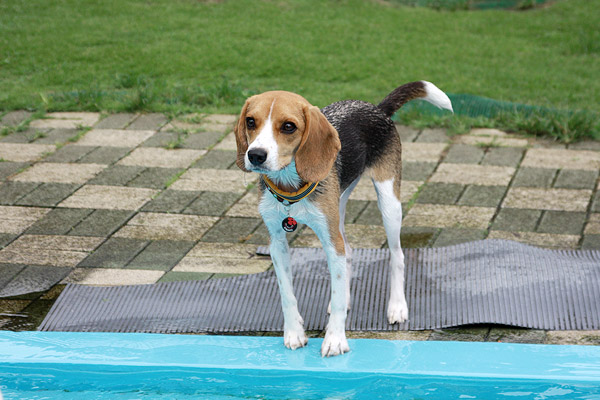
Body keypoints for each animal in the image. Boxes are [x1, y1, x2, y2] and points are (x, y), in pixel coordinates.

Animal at [233, 81, 450, 356]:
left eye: (289, 126)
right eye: (250, 121)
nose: (256, 155)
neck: (291, 186)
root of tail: (376, 108)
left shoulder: (330, 241)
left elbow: (335, 296)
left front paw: (335, 339)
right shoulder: (277, 243)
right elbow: (287, 295)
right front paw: (294, 333)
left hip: (389, 202)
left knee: (397, 255)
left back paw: (397, 306)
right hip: (340, 209)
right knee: (349, 250)